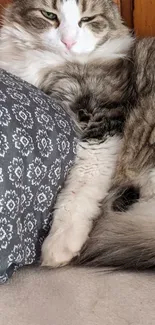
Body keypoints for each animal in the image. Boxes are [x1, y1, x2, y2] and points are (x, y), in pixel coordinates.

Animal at [0, 0, 155, 268]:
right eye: (49, 15)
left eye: (88, 19)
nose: (68, 42)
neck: (56, 65)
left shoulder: (101, 124)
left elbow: (81, 186)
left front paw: (60, 243)